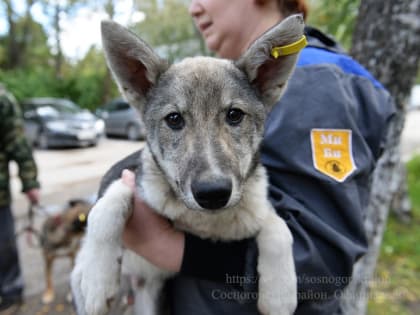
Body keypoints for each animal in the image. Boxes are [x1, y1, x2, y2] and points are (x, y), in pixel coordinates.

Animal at [71, 15, 302, 315]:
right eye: (174, 119)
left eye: (234, 115)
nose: (213, 193)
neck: (201, 220)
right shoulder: (129, 176)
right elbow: (107, 206)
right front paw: (98, 280)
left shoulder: (256, 206)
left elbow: (279, 226)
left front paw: (280, 294)